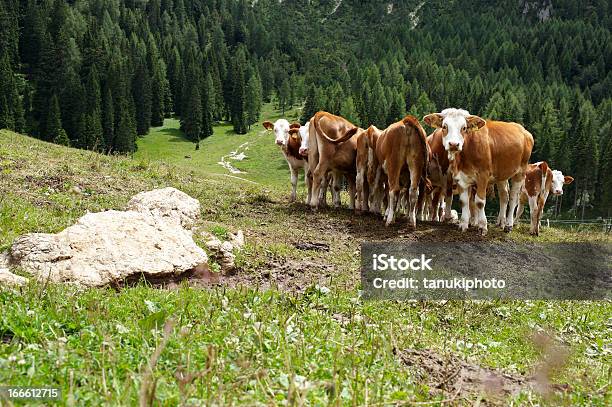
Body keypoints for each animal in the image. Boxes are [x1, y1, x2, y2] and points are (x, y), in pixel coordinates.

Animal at [424, 108, 532, 236]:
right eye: (445, 126)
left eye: (464, 128)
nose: (454, 144)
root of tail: (523, 130)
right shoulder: (460, 177)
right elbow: (464, 201)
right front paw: (463, 225)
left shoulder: (483, 176)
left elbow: (479, 202)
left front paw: (482, 226)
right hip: (501, 175)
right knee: (504, 196)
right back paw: (501, 222)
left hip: (520, 171)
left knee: (513, 198)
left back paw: (508, 225)